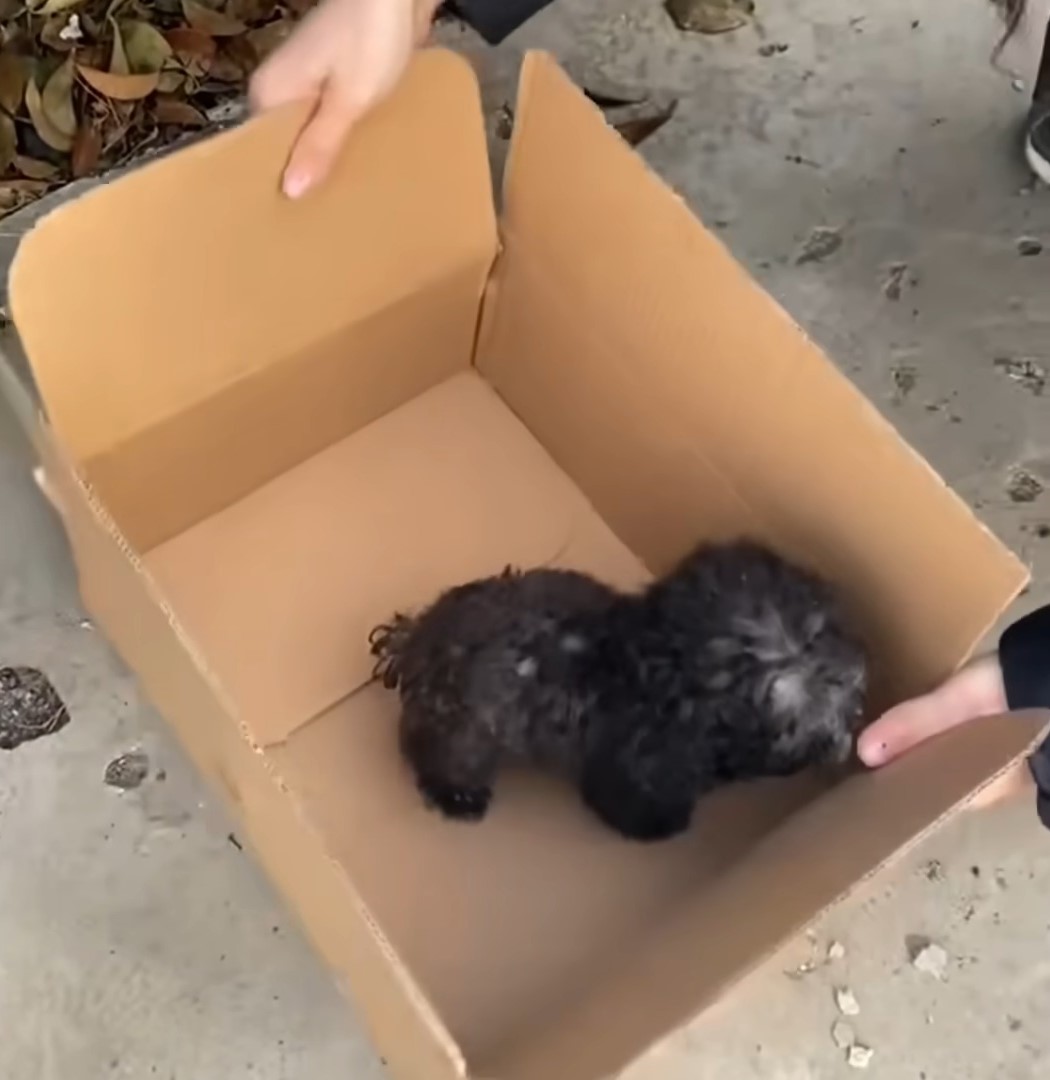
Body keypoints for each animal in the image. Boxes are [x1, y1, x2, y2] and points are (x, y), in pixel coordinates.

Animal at [373, 544, 864, 838]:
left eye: (824, 624)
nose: (857, 679)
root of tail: (416, 643)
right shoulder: (632, 782)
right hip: (460, 742)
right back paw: (459, 799)